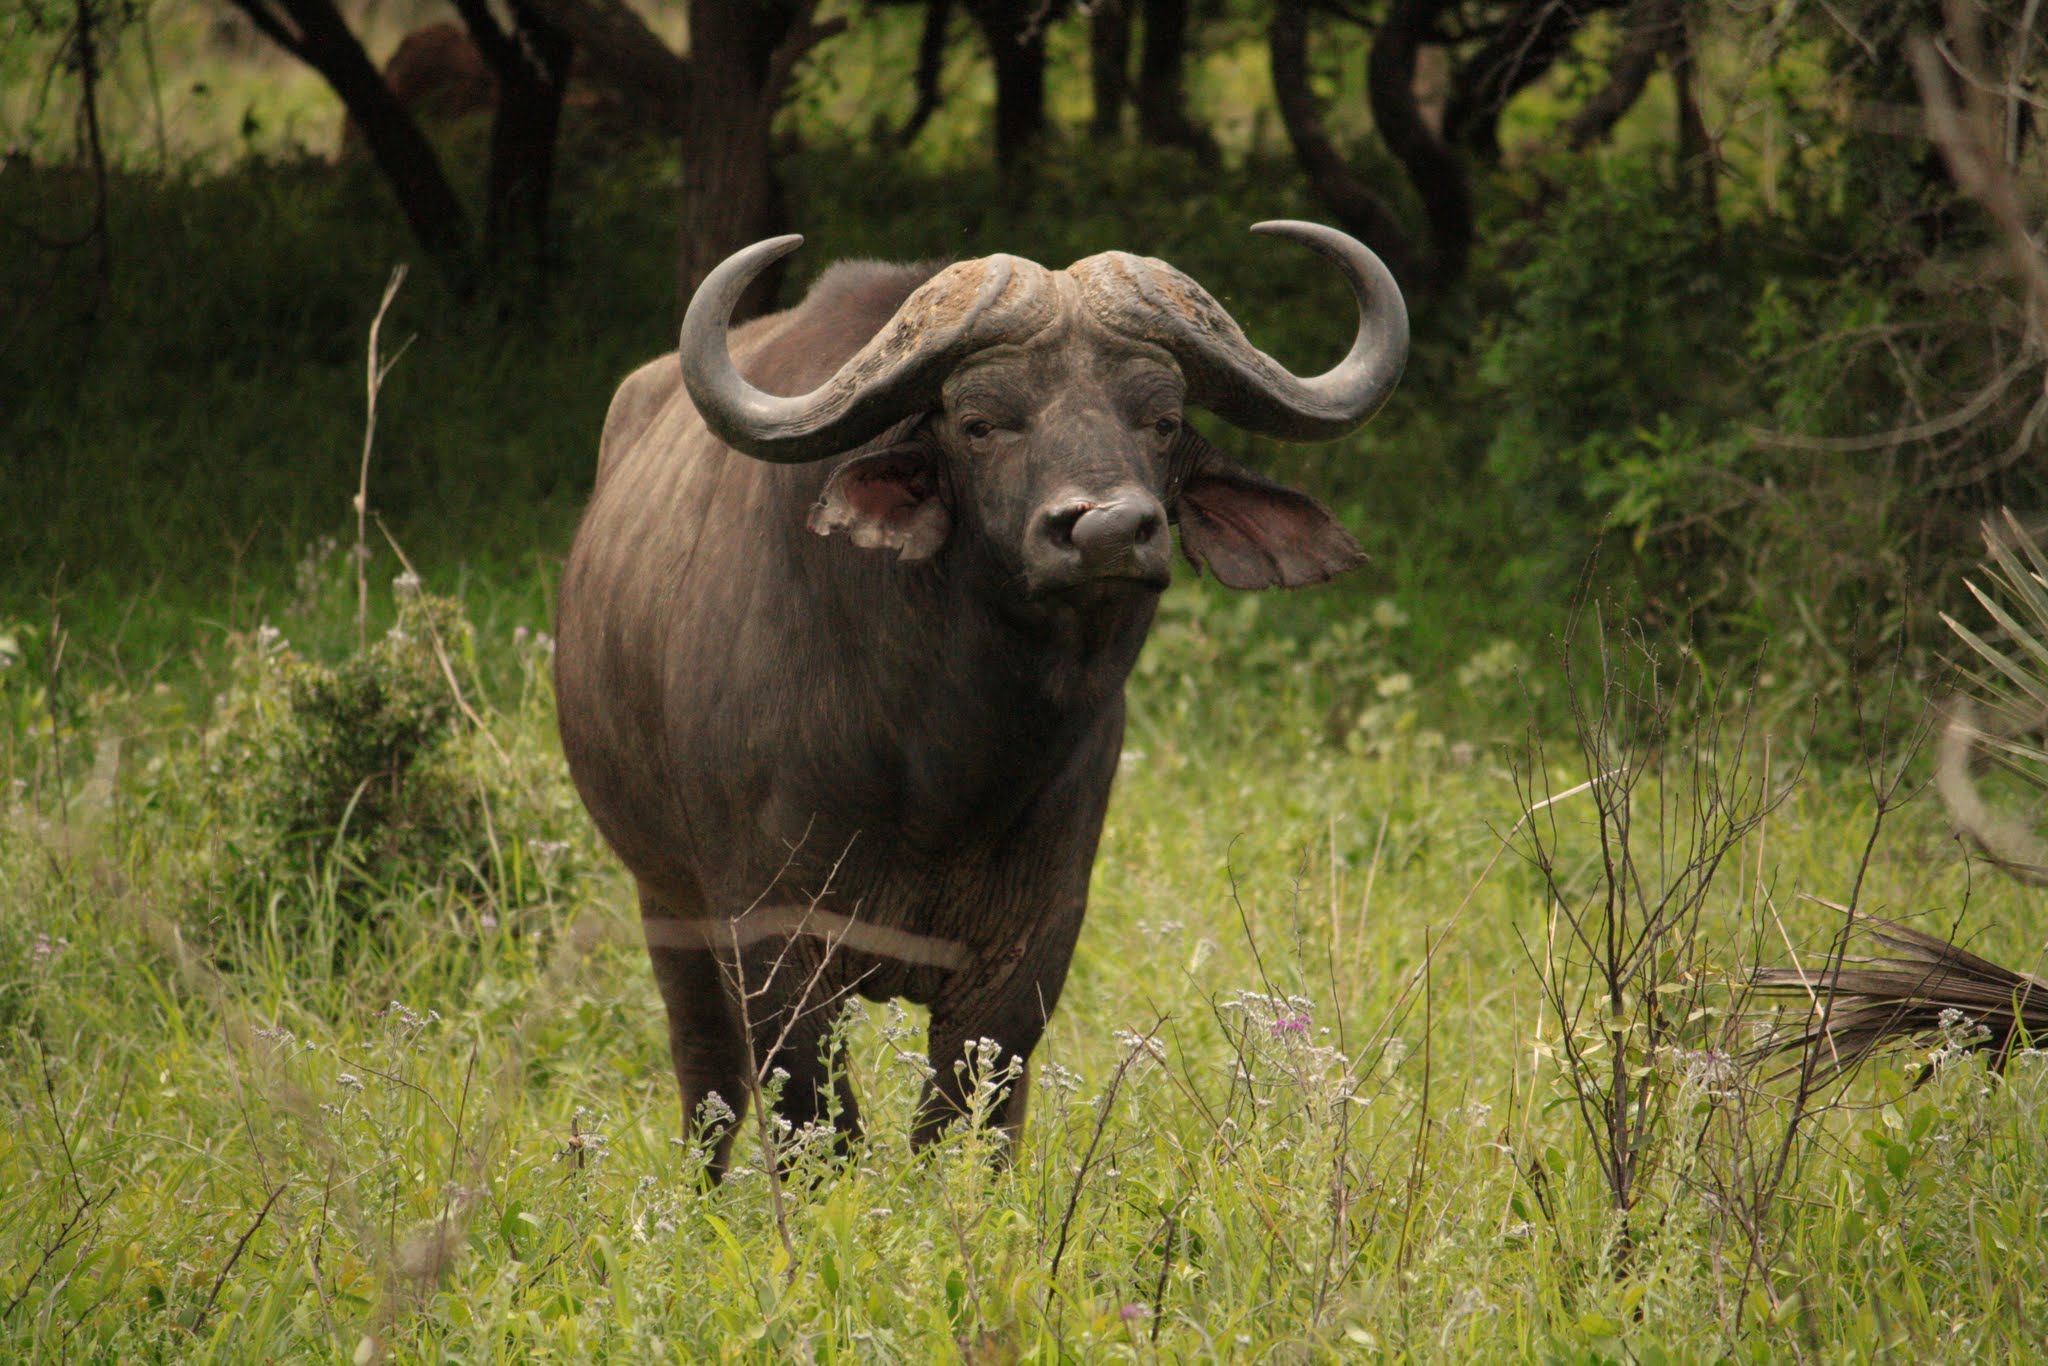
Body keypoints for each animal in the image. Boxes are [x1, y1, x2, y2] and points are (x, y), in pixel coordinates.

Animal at [555, 223, 1407, 1175]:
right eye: (980, 424)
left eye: (1160, 420)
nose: (1110, 530)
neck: (942, 760)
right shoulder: (773, 940)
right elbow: (818, 1124)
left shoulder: (1029, 946)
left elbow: (965, 1121)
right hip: (665, 902)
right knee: (707, 1081)